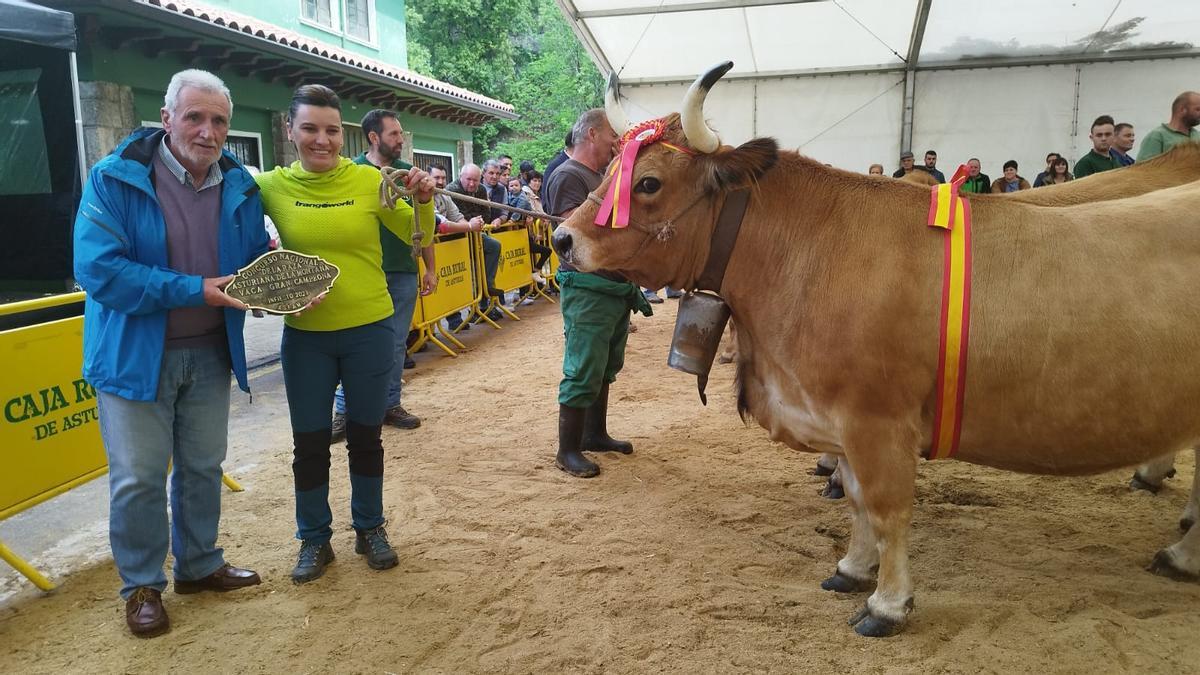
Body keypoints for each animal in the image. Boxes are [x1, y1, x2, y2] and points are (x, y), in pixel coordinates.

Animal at [549, 60, 1200, 634]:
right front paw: (851, 568)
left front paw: (888, 604)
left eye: (648, 183)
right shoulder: (842, 420)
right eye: (610, 168)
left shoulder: (877, 420)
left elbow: (886, 510)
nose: (560, 239)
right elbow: (859, 503)